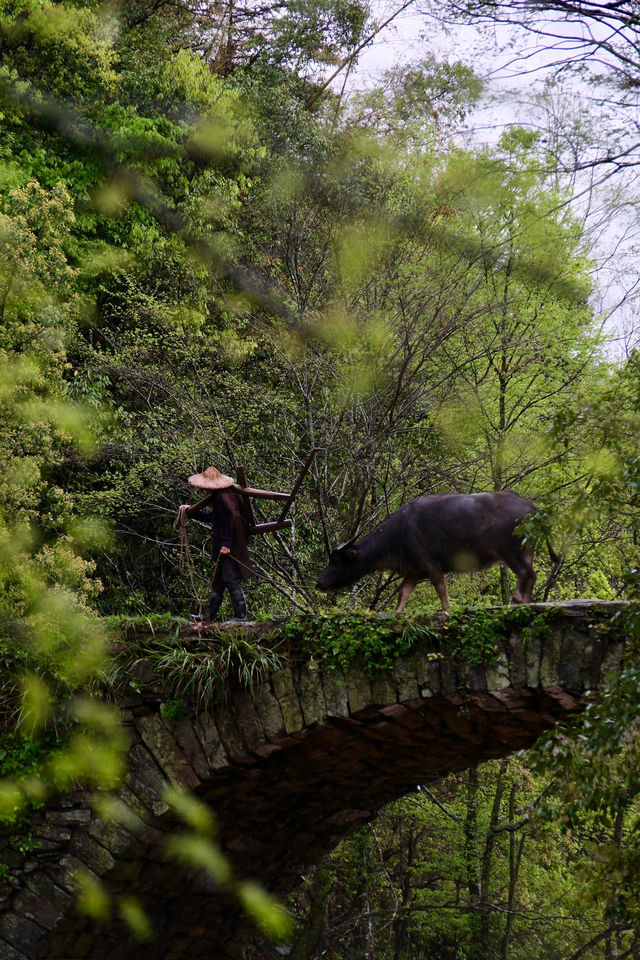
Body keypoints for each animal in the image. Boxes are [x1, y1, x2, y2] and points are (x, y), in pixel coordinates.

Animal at [316, 492, 540, 612]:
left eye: (336, 561)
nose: (319, 583)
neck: (398, 533)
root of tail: (532, 508)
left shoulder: (430, 564)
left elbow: (441, 588)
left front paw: (447, 609)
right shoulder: (413, 572)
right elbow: (403, 595)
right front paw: (397, 613)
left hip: (509, 551)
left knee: (526, 573)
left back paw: (519, 600)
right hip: (527, 551)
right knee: (531, 575)